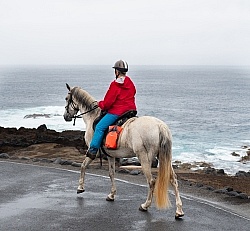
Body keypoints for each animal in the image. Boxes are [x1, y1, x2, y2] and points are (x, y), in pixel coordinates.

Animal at [62, 83, 184, 218]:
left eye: (67, 99)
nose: (65, 117)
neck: (92, 116)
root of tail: (159, 126)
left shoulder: (92, 150)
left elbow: (83, 166)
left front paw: (80, 187)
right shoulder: (110, 155)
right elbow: (111, 173)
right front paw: (111, 195)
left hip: (144, 158)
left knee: (151, 181)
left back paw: (145, 205)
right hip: (164, 157)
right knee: (173, 180)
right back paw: (179, 211)